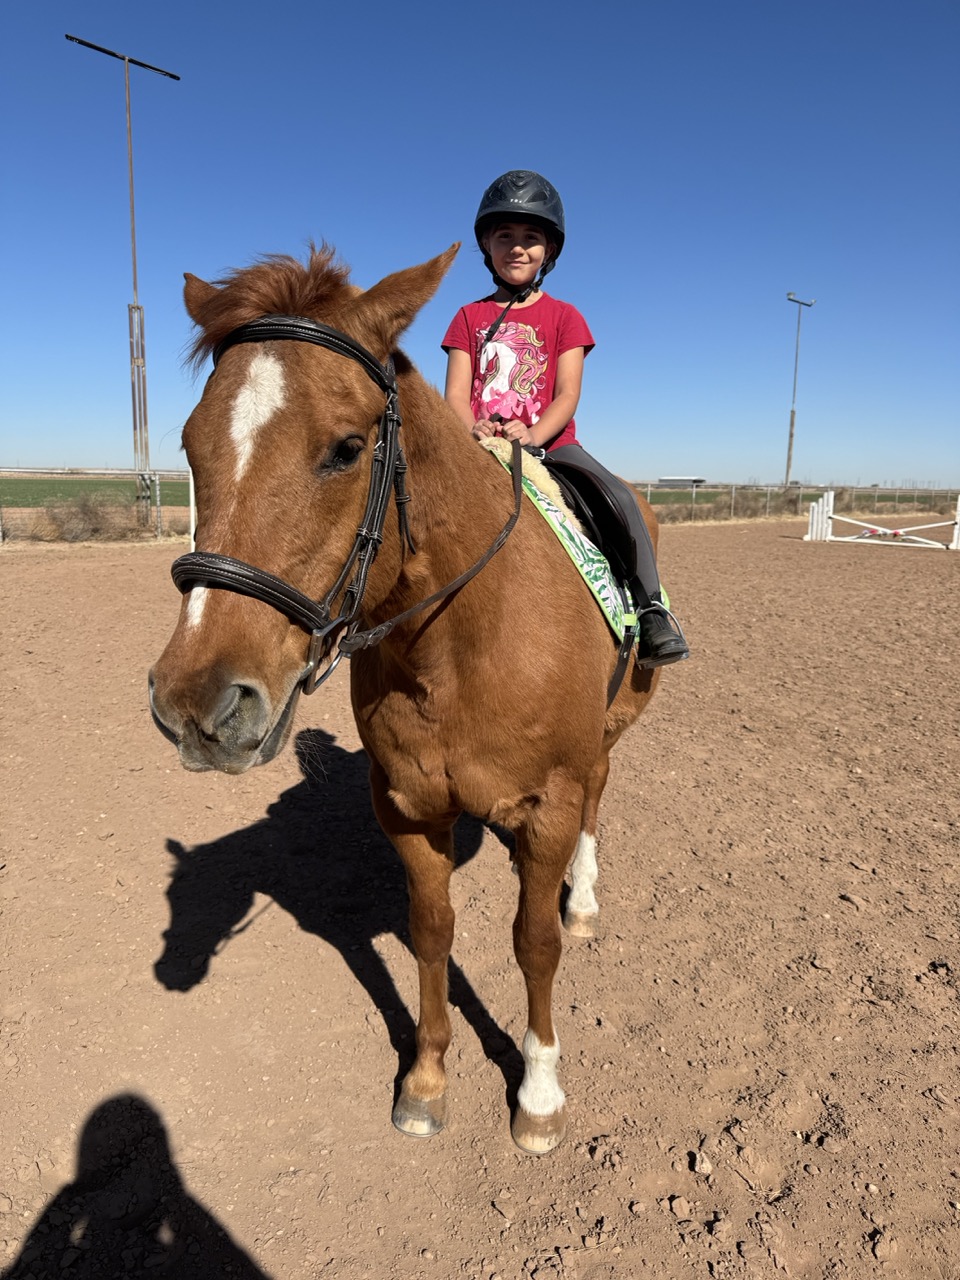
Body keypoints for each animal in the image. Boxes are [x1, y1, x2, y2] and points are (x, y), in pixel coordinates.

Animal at [149, 242, 662, 1154]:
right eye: (190, 443)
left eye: (347, 448)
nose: (197, 704)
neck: (460, 642)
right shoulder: (409, 807)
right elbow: (431, 933)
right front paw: (425, 1079)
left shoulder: (550, 804)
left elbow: (534, 943)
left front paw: (537, 1092)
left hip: (609, 731)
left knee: (599, 796)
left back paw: (585, 898)